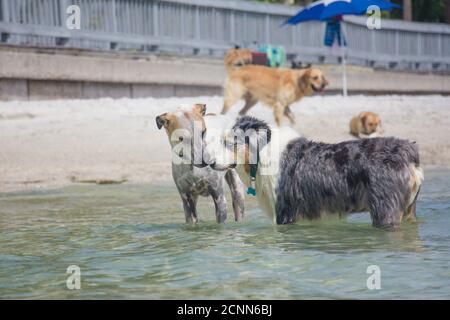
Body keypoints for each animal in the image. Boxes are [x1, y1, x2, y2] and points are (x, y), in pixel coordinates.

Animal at [206, 115, 424, 230]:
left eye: (231, 143)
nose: (209, 162)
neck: (262, 152)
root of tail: (408, 150)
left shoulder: (284, 214)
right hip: (408, 210)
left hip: (385, 210)